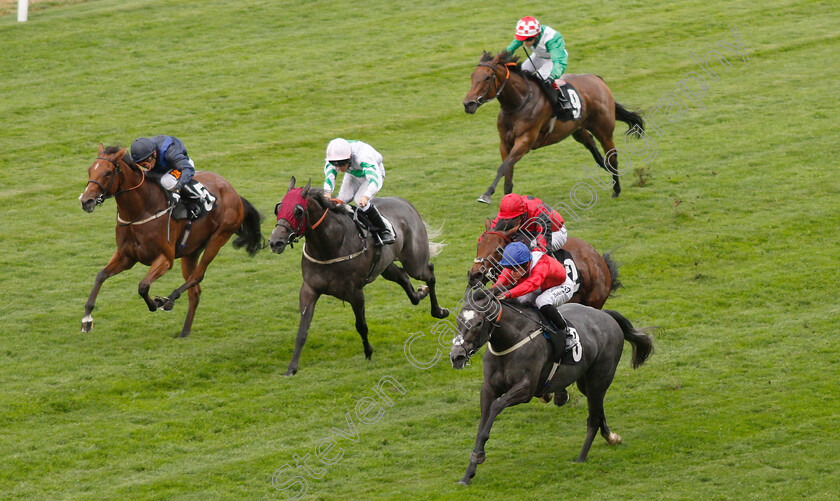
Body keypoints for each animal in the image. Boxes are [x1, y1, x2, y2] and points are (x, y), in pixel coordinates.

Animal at [79, 146, 264, 338]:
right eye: (90, 170)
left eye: (108, 172)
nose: (86, 201)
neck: (141, 210)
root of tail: (233, 192)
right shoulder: (126, 257)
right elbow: (101, 275)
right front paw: (87, 319)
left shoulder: (165, 258)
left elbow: (143, 286)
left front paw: (155, 303)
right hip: (191, 252)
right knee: (195, 291)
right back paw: (184, 332)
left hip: (219, 237)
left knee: (198, 276)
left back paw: (169, 300)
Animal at [270, 177, 452, 376]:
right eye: (279, 208)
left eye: (298, 211)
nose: (275, 242)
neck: (330, 246)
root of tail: (405, 202)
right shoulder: (309, 290)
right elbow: (302, 330)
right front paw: (291, 368)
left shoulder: (355, 293)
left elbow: (361, 326)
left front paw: (368, 353)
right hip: (386, 265)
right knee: (403, 277)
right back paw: (420, 294)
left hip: (415, 262)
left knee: (429, 272)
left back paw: (439, 311)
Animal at [450, 286, 652, 484]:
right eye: (459, 320)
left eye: (478, 323)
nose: (456, 356)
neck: (511, 340)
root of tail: (606, 315)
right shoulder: (488, 389)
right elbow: (482, 425)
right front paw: (468, 473)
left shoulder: (526, 389)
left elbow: (496, 407)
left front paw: (479, 456)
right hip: (586, 381)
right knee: (597, 407)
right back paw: (610, 437)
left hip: (600, 377)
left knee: (593, 417)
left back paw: (581, 457)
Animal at [462, 48, 648, 201]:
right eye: (472, 76)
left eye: (487, 78)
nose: (468, 104)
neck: (518, 103)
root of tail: (597, 79)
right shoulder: (504, 143)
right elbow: (508, 173)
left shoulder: (525, 141)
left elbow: (503, 167)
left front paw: (486, 194)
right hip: (577, 128)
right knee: (593, 147)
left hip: (604, 129)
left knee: (613, 157)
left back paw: (616, 189)